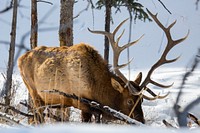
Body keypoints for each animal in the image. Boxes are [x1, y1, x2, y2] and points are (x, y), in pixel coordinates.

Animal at [18, 9, 188, 124]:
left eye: (141, 100)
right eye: (129, 101)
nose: (141, 121)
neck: (96, 87)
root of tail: (20, 59)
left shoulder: (96, 109)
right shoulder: (82, 103)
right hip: (34, 91)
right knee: (37, 118)